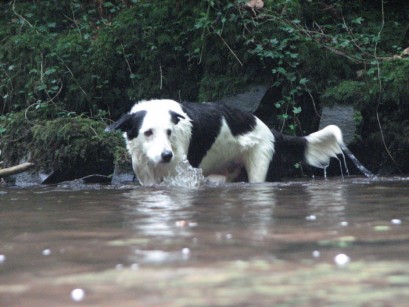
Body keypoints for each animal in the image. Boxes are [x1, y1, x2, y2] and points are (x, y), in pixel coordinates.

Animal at [105, 99, 344, 185]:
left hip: (259, 167)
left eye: (169, 132)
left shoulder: (182, 175)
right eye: (147, 133)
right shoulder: (147, 179)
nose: (167, 155)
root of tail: (271, 130)